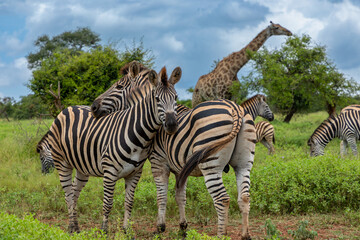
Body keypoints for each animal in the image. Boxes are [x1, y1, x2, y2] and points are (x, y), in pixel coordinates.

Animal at [36, 66, 180, 233]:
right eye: (157, 99)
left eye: (176, 98)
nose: (172, 125)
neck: (138, 134)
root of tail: (68, 108)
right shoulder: (110, 172)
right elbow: (108, 203)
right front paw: (104, 231)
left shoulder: (135, 173)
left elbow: (129, 202)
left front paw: (127, 231)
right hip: (62, 163)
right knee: (68, 194)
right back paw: (71, 228)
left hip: (82, 167)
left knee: (74, 191)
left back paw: (77, 228)